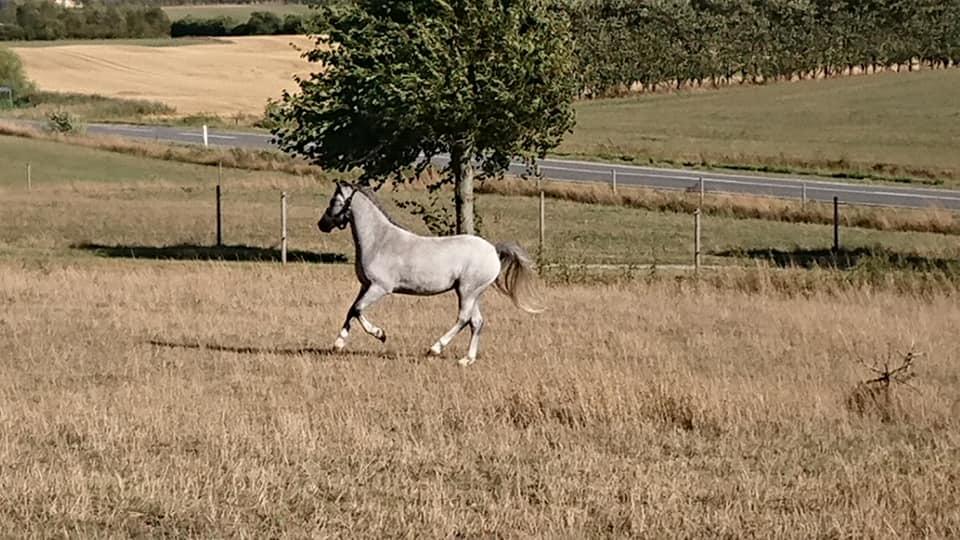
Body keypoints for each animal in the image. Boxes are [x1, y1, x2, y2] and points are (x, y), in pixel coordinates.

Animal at [316, 182, 536, 368]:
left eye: (334, 201)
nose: (322, 224)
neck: (379, 241)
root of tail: (493, 250)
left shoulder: (379, 288)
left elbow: (358, 309)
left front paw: (380, 334)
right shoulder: (365, 286)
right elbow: (351, 310)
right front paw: (338, 344)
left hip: (467, 291)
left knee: (463, 319)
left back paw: (434, 349)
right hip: (473, 294)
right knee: (476, 322)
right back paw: (466, 360)